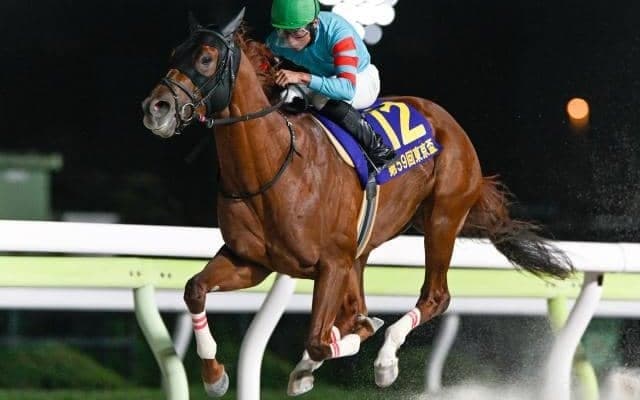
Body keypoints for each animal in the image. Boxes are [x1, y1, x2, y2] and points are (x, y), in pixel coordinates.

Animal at [141, 9, 573, 397]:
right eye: (174, 53)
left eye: (205, 58)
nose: (155, 109)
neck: (271, 170)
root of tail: (447, 121)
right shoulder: (251, 261)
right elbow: (195, 289)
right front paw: (215, 376)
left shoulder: (331, 263)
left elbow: (323, 338)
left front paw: (359, 339)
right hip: (364, 248)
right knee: (356, 303)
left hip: (442, 219)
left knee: (436, 296)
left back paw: (384, 360)